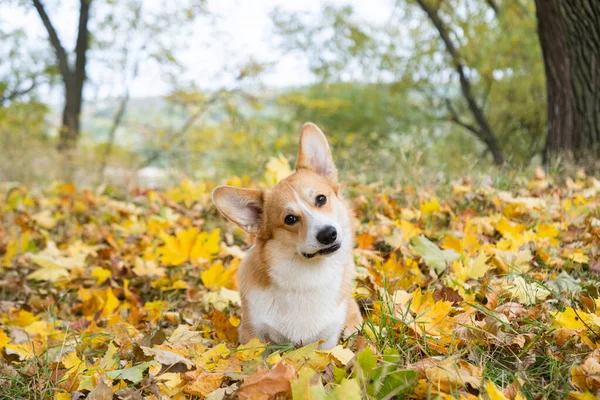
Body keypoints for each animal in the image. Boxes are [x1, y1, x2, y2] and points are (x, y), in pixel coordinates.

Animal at [211, 122, 360, 350]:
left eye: (321, 199)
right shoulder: (254, 334)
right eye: (290, 219)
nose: (328, 234)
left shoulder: (328, 338)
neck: (308, 277)